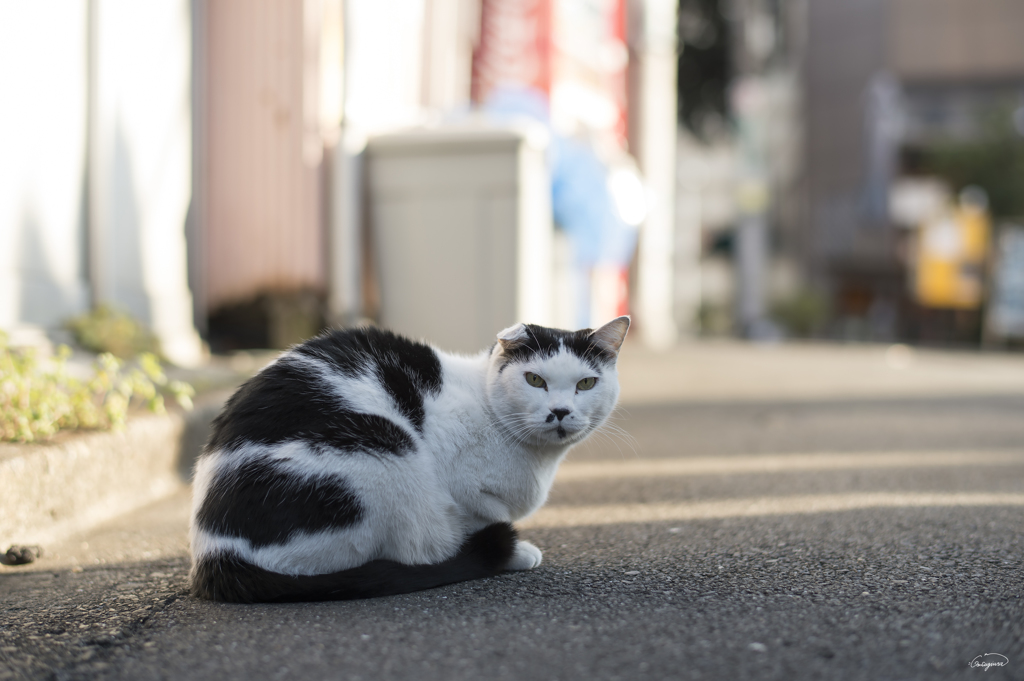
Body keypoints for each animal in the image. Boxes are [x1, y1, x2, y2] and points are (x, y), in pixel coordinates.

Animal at [188, 315, 626, 602]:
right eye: (535, 379)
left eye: (587, 383)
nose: (560, 412)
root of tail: (214, 552)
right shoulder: (466, 495)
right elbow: (481, 520)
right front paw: (513, 552)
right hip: (385, 451)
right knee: (405, 553)